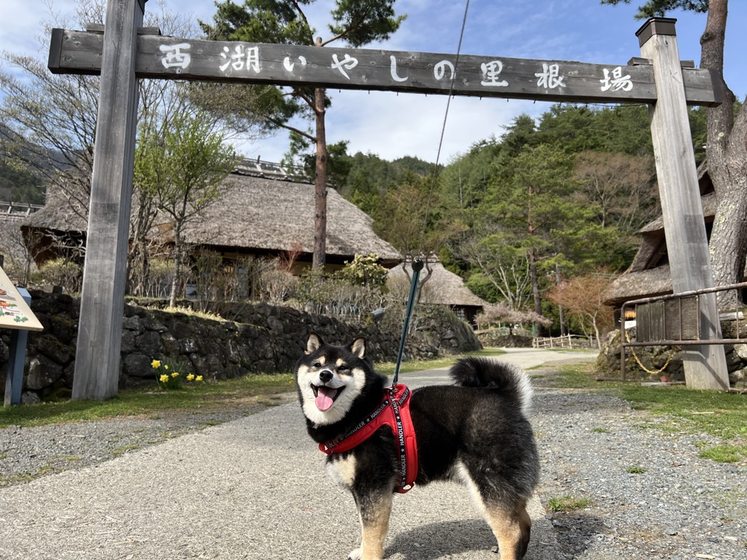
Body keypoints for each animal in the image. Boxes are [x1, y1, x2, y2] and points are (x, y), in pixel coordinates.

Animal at [295, 333, 540, 560]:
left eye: (343, 367)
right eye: (317, 364)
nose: (325, 375)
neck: (361, 413)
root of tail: (507, 399)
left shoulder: (373, 486)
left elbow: (372, 533)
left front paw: (369, 555)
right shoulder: (361, 490)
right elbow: (364, 528)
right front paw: (361, 551)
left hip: (489, 484)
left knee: (511, 531)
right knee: (523, 520)